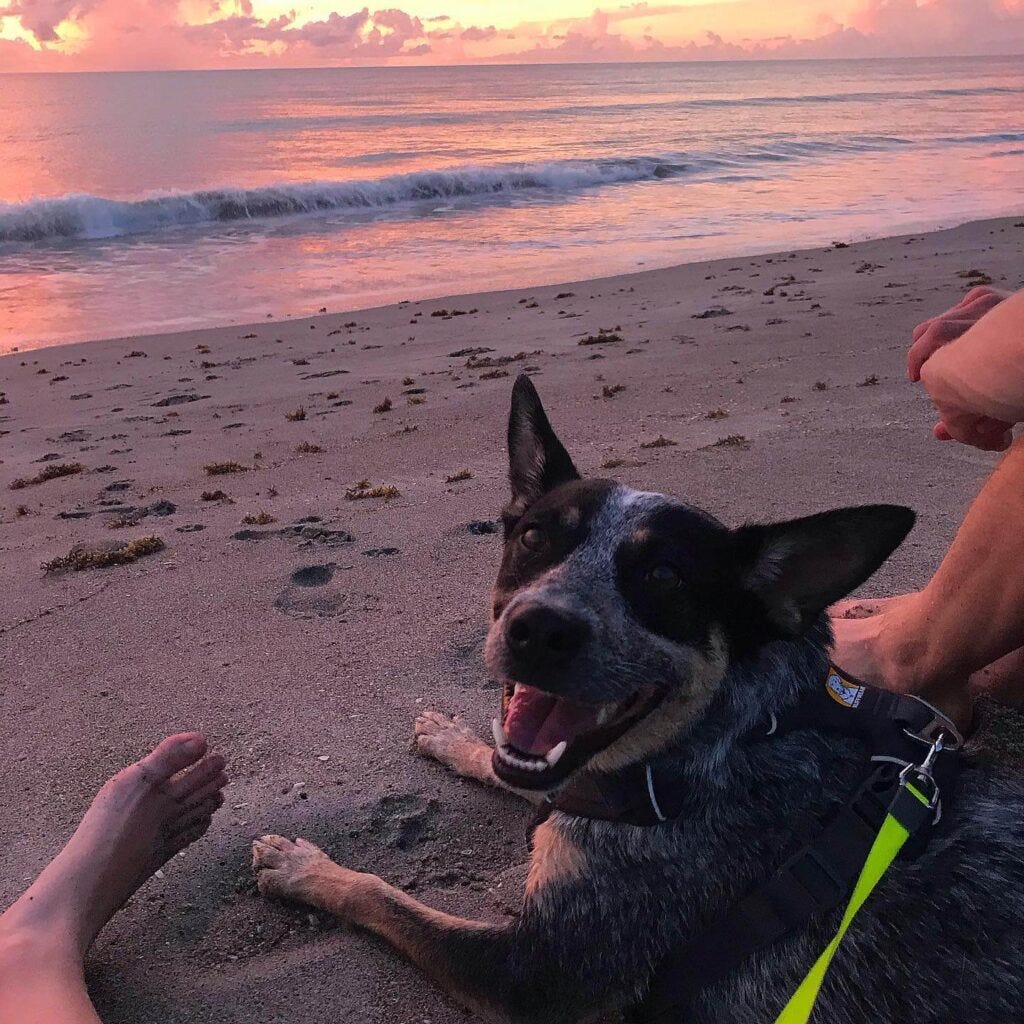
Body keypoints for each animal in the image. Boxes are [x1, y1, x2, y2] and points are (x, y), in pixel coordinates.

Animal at [253, 376, 1024, 1024]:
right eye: (534, 536)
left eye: (664, 577)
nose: (540, 628)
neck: (722, 742)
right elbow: (505, 766)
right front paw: (449, 734)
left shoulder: (536, 973)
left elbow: (386, 897)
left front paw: (302, 867)